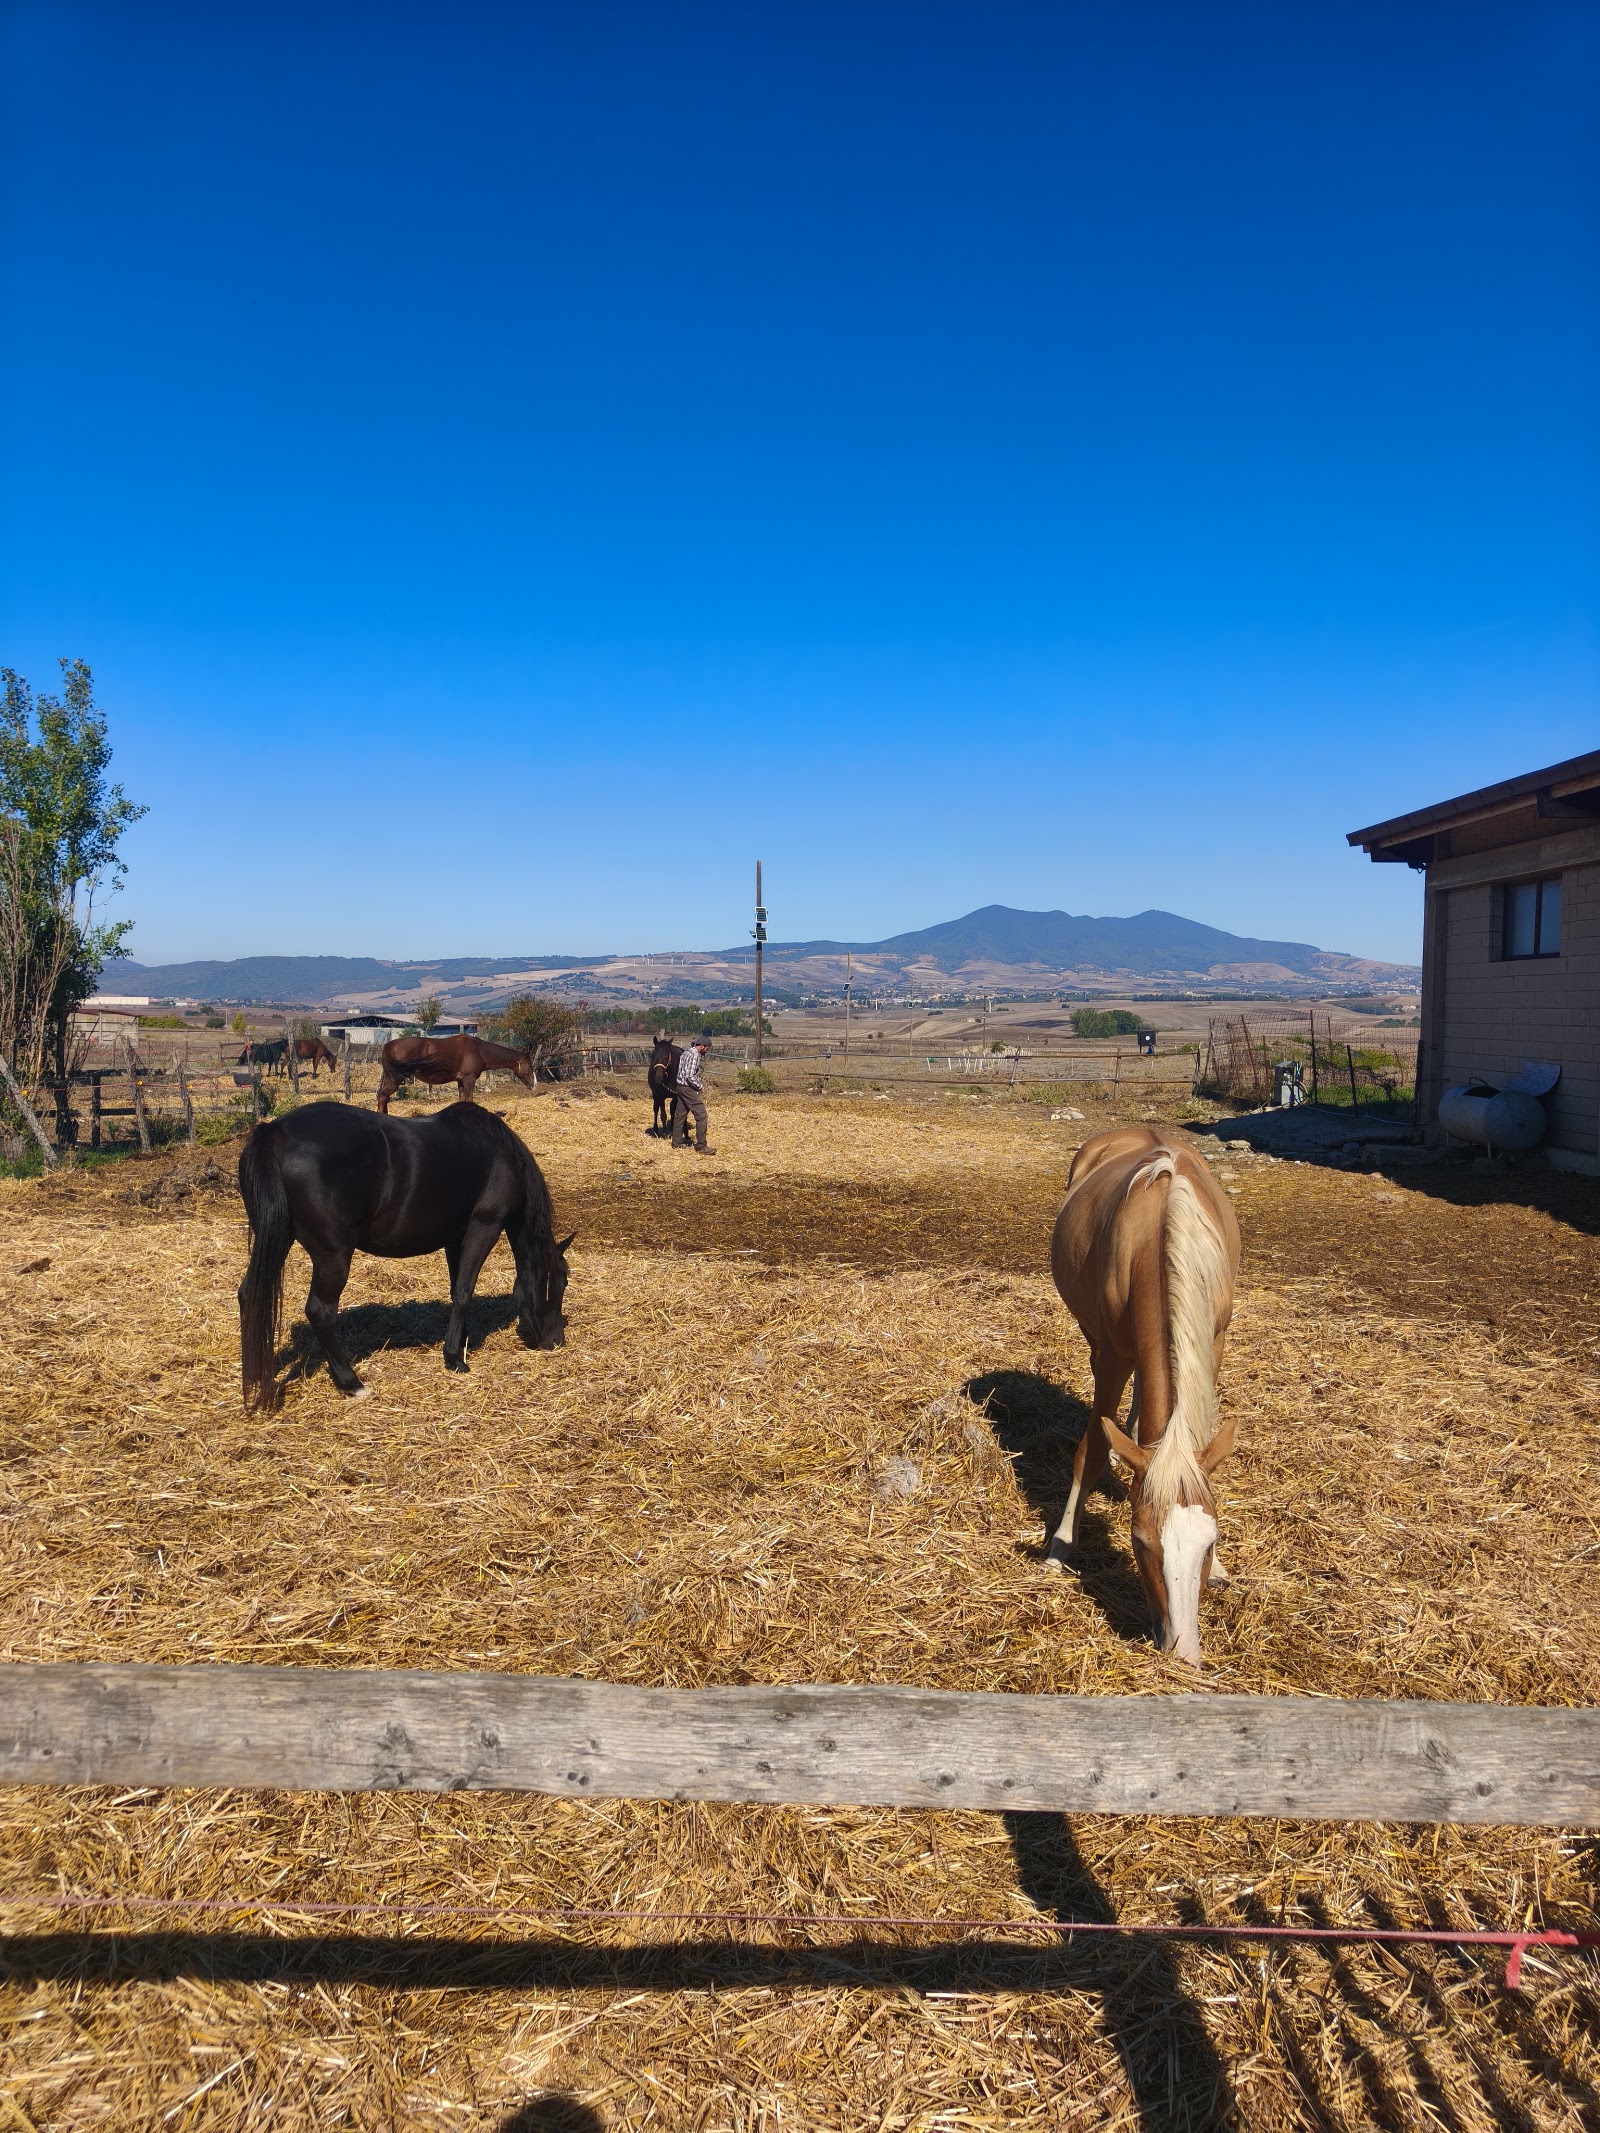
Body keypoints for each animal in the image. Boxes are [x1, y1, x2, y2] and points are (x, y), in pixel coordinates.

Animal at [237, 1100, 572, 1410]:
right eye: (562, 1282)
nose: (556, 1342)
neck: (502, 1156)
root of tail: (276, 1131)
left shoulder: (456, 1238)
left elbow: (457, 1290)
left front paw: (460, 1342)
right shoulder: (484, 1227)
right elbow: (464, 1293)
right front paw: (455, 1358)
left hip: (277, 1238)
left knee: (249, 1294)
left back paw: (254, 1376)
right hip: (332, 1257)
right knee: (321, 1312)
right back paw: (352, 1383)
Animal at [375, 1033, 536, 1112]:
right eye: (529, 1066)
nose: (534, 1085)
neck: (479, 1050)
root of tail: (386, 1045)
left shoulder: (460, 1081)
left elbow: (462, 1100)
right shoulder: (469, 1079)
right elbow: (469, 1100)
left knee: (383, 1097)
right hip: (395, 1079)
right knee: (382, 1097)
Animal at [1045, 1124, 1241, 1667]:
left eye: (1211, 1541)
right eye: (1139, 1542)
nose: (1183, 1652)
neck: (1161, 1233)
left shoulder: (1211, 1343)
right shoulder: (1112, 1356)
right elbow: (1091, 1450)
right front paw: (1061, 1545)